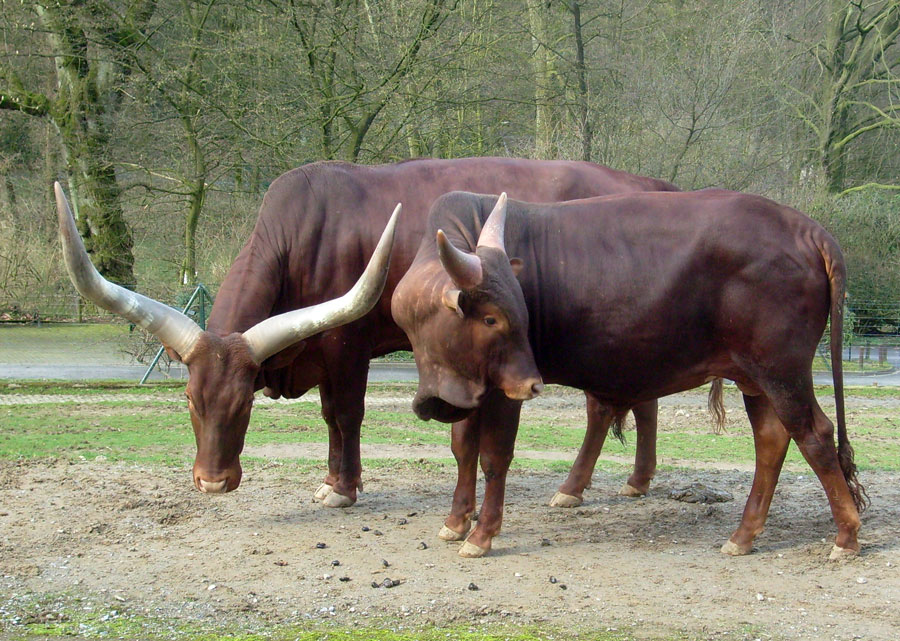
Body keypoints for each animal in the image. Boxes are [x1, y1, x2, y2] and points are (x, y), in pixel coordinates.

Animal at [392, 190, 864, 560]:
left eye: (513, 316)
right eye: (491, 318)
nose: (535, 383)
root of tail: (806, 228)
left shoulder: (502, 388)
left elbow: (493, 457)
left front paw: (482, 534)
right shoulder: (471, 389)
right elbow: (462, 447)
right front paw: (456, 520)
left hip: (782, 371)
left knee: (815, 435)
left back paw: (846, 535)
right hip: (755, 377)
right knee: (771, 439)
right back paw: (744, 534)